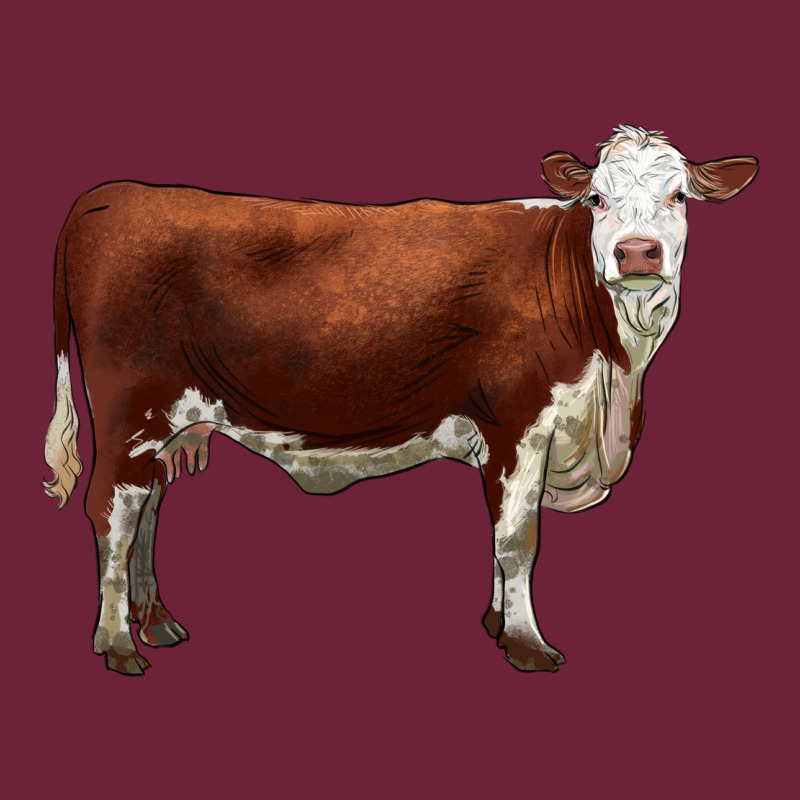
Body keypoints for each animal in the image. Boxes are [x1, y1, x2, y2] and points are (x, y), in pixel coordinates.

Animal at [44, 126, 757, 675]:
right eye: (598, 198)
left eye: (678, 196)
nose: (637, 253)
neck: (612, 382)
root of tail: (111, 194)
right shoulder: (519, 421)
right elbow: (518, 538)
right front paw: (526, 645)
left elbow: (498, 532)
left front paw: (496, 622)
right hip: (130, 411)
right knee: (111, 511)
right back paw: (118, 644)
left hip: (168, 423)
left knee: (147, 507)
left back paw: (156, 622)